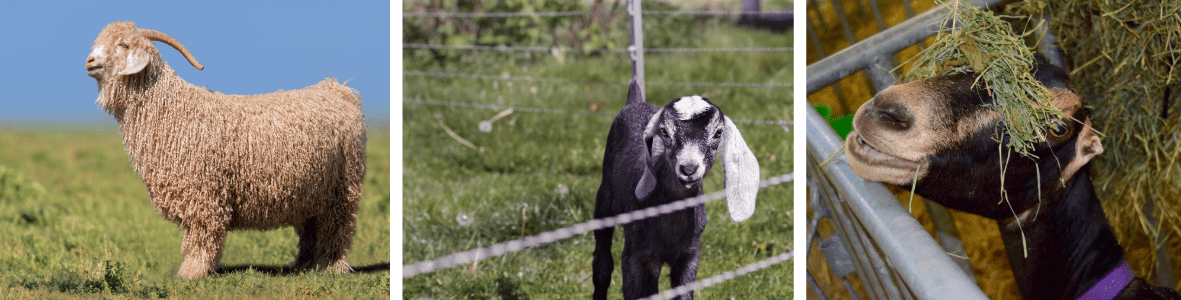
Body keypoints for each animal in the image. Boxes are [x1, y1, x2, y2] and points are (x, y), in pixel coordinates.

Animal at [84, 21, 363, 278]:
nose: (89, 61)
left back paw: (333, 267)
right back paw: (304, 265)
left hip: (342, 187)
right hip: (311, 192)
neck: (173, 109)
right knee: (311, 230)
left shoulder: (203, 193)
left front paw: (191, 272)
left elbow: (203, 234)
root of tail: (340, 90)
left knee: (337, 229)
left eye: (123, 44)